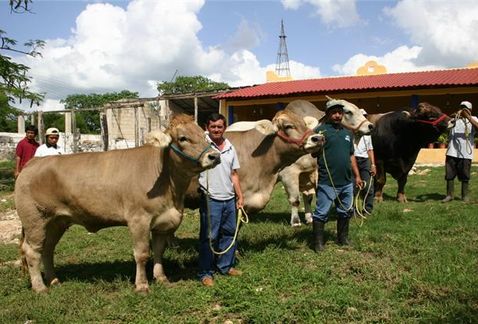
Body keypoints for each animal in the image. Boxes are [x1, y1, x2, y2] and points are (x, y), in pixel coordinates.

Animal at [14, 114, 220, 294]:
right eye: (183, 138)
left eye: (203, 134)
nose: (214, 156)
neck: (171, 189)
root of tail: (33, 162)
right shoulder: (138, 219)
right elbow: (142, 253)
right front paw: (142, 285)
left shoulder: (162, 222)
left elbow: (158, 251)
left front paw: (161, 278)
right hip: (35, 219)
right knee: (32, 251)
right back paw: (40, 287)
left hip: (57, 221)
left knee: (47, 249)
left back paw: (54, 280)